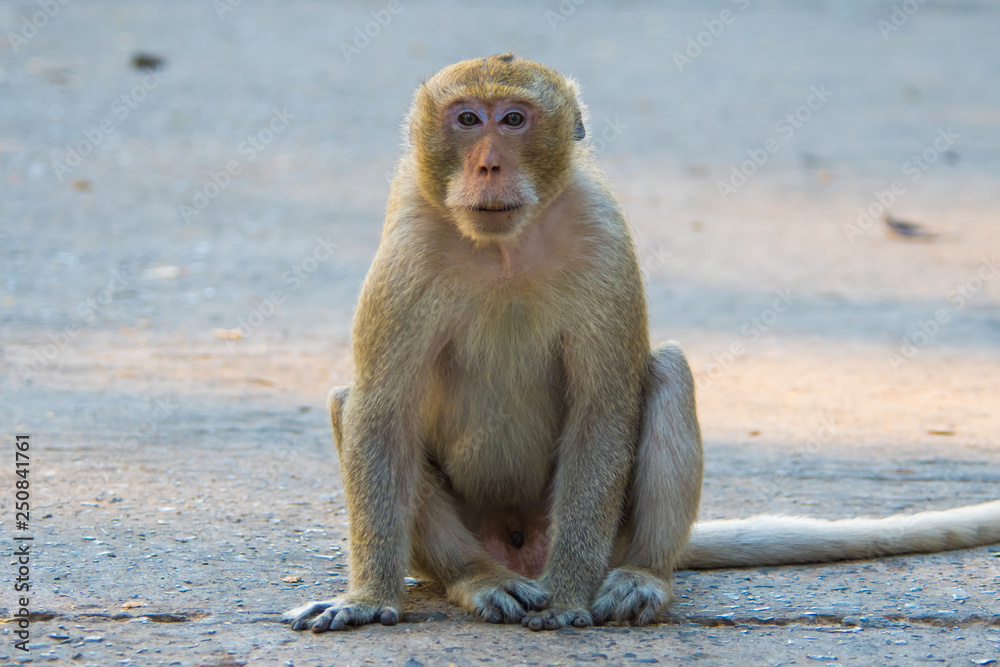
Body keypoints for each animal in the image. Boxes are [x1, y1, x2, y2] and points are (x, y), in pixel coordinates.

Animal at [283, 54, 1000, 633]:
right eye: (466, 119)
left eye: (513, 119)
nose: (488, 163)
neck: (505, 249)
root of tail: (522, 550)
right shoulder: (408, 246)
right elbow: (381, 410)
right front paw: (368, 598)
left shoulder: (603, 233)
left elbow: (604, 409)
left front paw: (569, 596)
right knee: (352, 404)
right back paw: (479, 579)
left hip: (609, 531)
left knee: (667, 375)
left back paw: (642, 575)